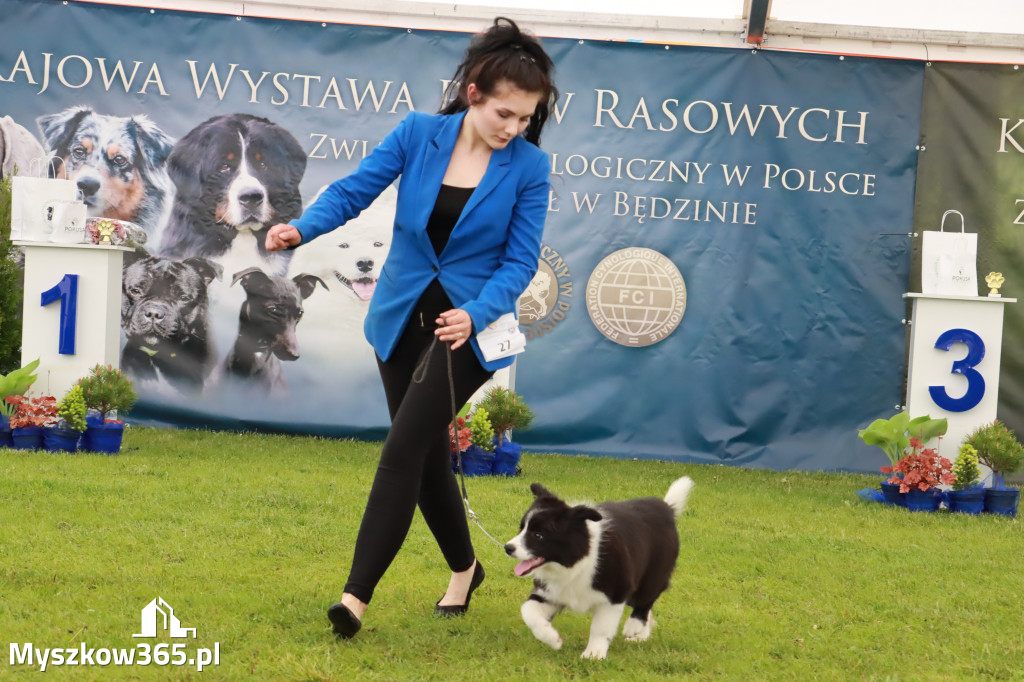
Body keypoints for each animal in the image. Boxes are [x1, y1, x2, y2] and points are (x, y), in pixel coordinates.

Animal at [505, 475, 696, 655]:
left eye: (538, 535)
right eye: (521, 528)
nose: (508, 548)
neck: (574, 561)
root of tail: (667, 508)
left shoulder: (614, 594)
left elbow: (601, 628)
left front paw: (593, 654)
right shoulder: (550, 592)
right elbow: (528, 611)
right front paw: (552, 639)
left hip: (652, 573)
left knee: (647, 598)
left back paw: (634, 627)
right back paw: (640, 635)